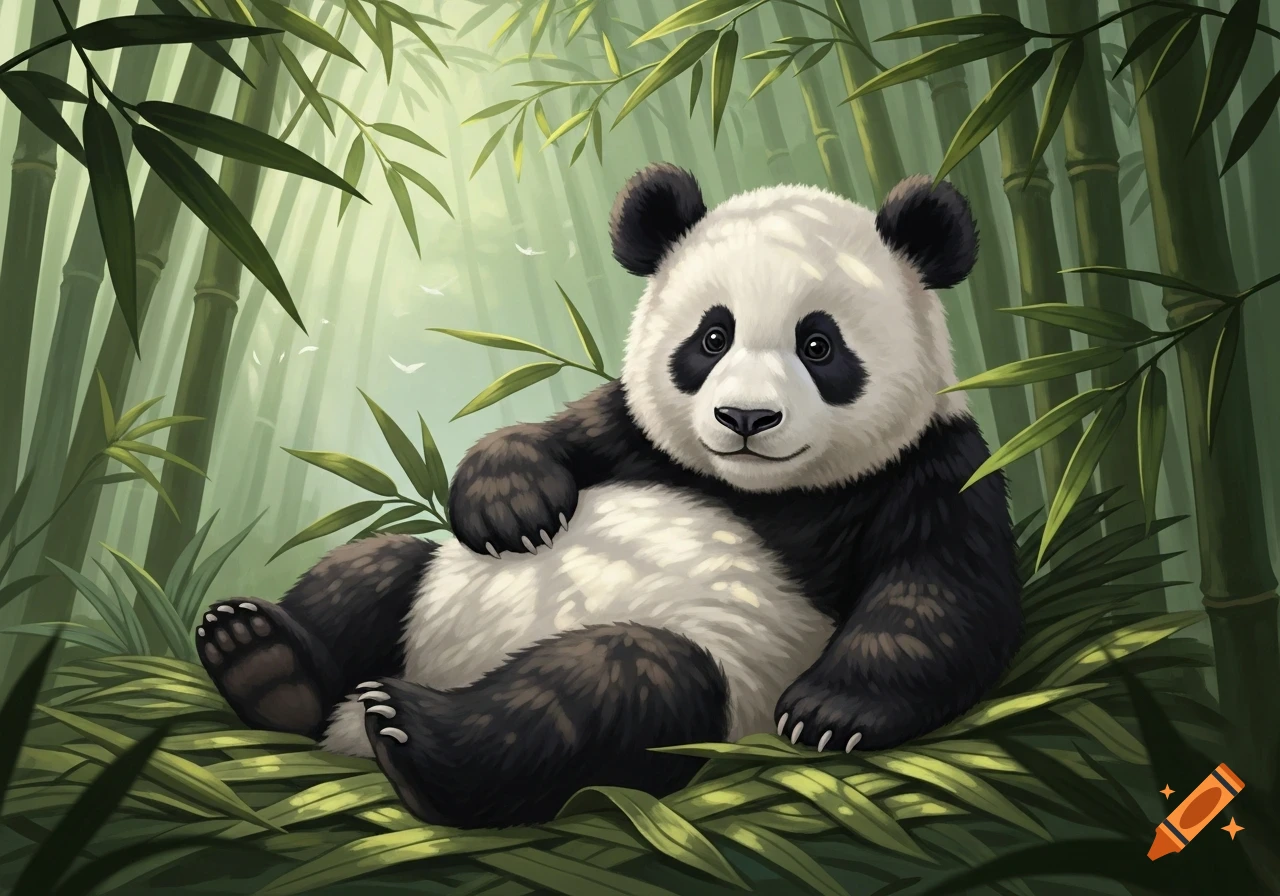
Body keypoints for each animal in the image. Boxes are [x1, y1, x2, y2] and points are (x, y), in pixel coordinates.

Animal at [196, 163, 1022, 830]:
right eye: (712, 338)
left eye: (818, 346)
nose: (745, 418)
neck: (763, 489)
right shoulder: (634, 435)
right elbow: (547, 436)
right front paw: (512, 510)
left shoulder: (933, 468)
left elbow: (937, 595)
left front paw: (830, 712)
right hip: (420, 599)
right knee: (380, 568)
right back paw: (260, 659)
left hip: (722, 684)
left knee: (622, 684)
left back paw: (413, 736)